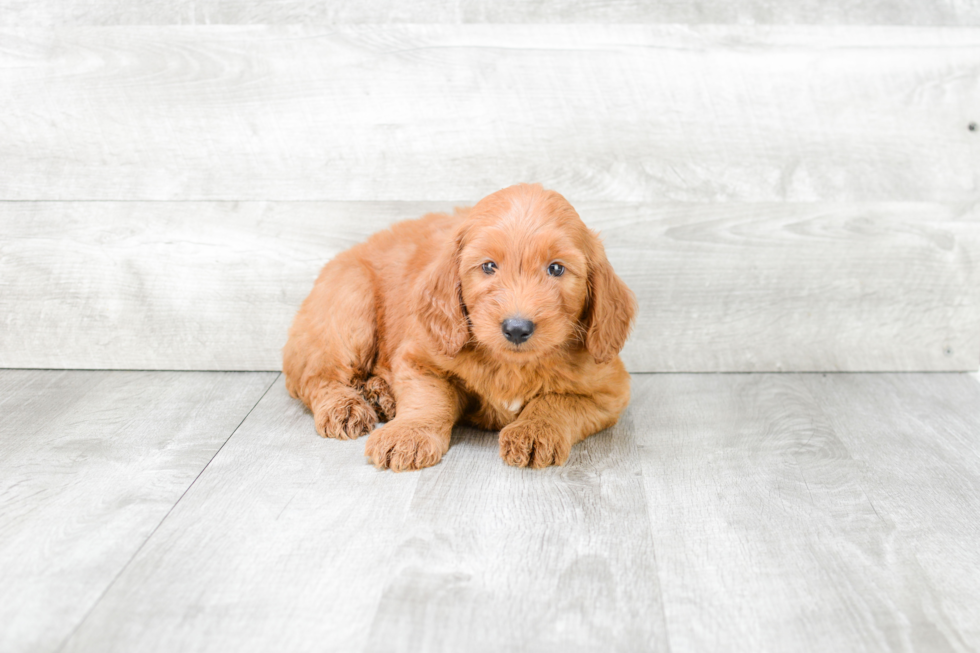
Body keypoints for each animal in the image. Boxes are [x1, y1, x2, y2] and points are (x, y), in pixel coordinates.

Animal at [284, 181, 636, 472]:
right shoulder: (420, 357)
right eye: (489, 267)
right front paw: (409, 434)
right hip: (348, 306)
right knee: (316, 377)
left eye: (556, 269)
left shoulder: (609, 390)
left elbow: (556, 402)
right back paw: (345, 407)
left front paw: (534, 431)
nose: (517, 328)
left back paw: (381, 394)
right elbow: (427, 399)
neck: (511, 365)